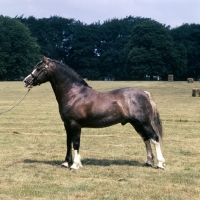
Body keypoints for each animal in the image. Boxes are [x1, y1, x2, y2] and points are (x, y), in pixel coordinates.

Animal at [23, 55, 166, 169]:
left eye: (39, 68)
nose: (26, 81)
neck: (74, 94)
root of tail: (144, 93)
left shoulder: (75, 125)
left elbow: (76, 143)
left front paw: (75, 165)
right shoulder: (67, 125)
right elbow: (68, 143)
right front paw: (66, 163)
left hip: (144, 123)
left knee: (154, 138)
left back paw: (160, 164)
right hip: (136, 124)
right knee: (146, 139)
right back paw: (148, 162)